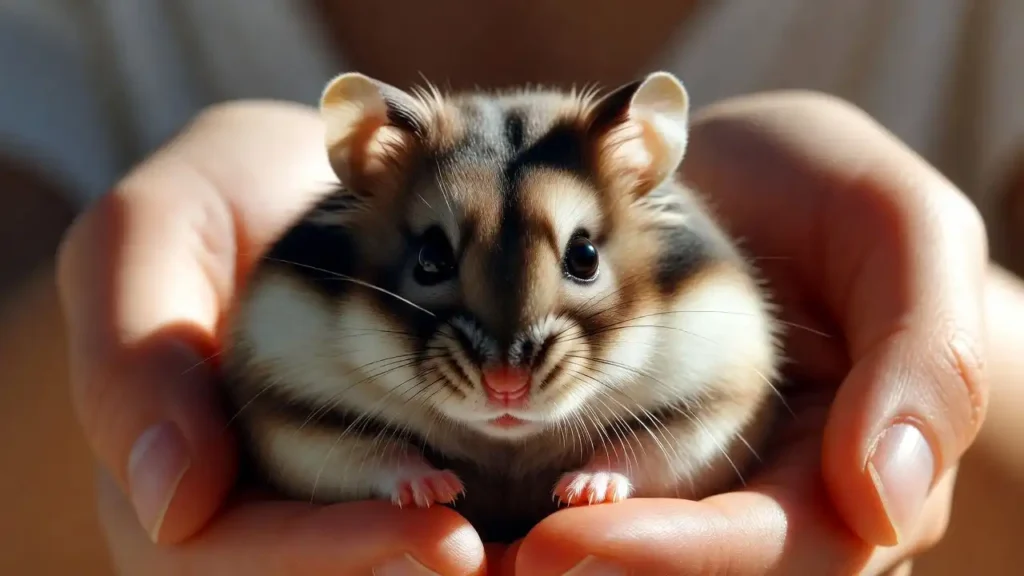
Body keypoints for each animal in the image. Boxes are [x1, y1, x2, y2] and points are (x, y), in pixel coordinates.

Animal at [221, 71, 782, 542]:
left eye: (585, 256)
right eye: (430, 259)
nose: (505, 387)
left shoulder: (716, 409)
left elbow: (639, 453)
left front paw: (579, 491)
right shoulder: (293, 419)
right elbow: (377, 454)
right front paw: (439, 490)